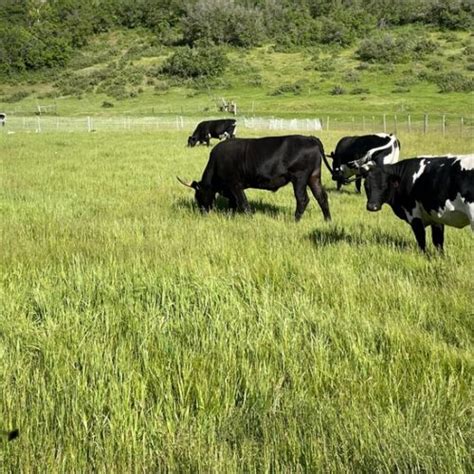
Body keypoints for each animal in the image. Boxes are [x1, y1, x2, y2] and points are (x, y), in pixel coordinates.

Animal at [177, 133, 330, 222]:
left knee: (302, 199)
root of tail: (310, 138)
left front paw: (250, 219)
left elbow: (243, 204)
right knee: (321, 197)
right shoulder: (231, 190)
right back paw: (327, 220)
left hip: (299, 178)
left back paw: (295, 221)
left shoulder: (235, 185)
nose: (203, 212)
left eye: (198, 196)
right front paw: (230, 217)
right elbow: (233, 204)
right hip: (314, 177)